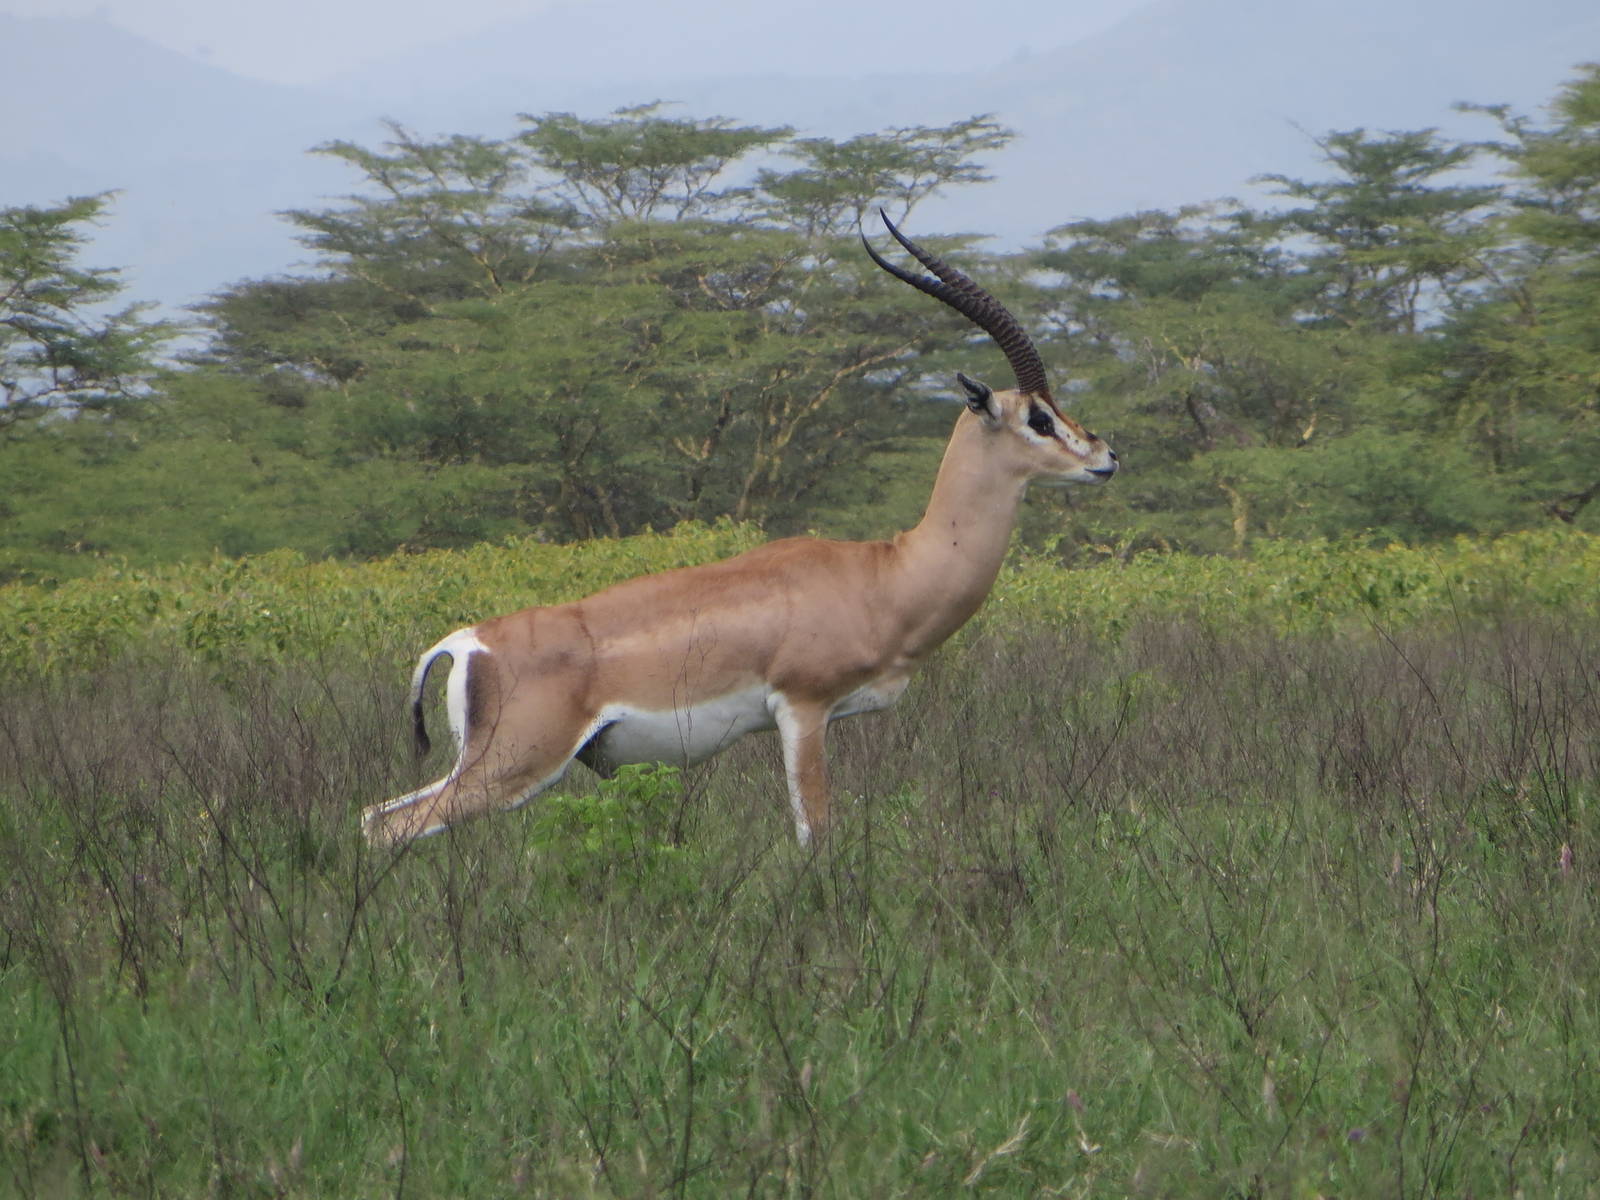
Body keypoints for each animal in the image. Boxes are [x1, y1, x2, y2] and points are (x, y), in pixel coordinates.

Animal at [361, 212, 1117, 848]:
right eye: (1039, 417)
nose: (1106, 457)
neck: (885, 574)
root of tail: (466, 642)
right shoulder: (803, 709)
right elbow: (816, 832)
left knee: (376, 815)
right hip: (515, 764)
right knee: (392, 827)